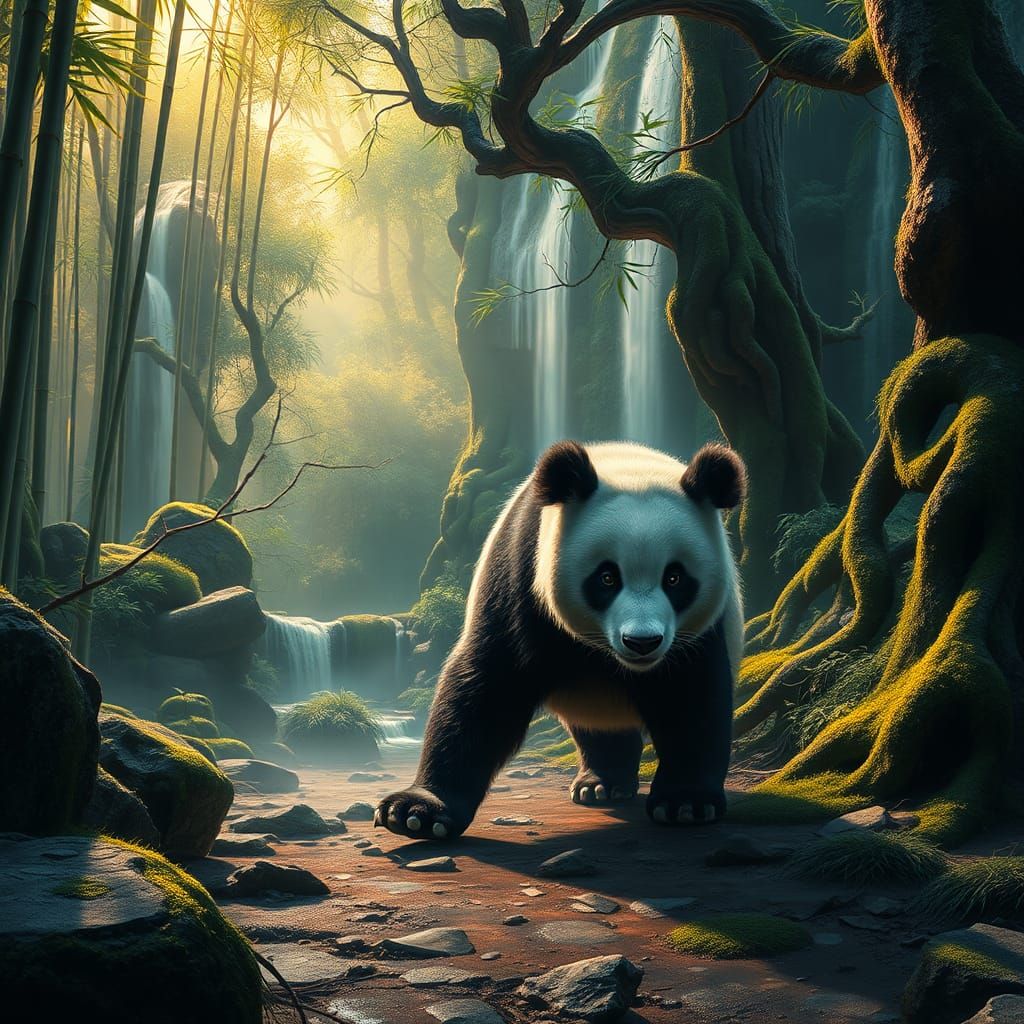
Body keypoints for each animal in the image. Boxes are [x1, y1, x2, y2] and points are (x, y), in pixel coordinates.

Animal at [375, 439, 746, 840]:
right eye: (607, 577)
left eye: (675, 578)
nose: (642, 641)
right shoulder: (522, 578)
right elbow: (486, 686)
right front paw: (416, 812)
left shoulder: (699, 631)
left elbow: (692, 697)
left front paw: (686, 804)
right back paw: (600, 784)